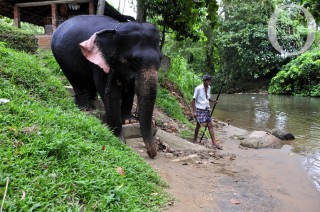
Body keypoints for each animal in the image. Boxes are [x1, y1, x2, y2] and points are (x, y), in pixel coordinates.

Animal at [52, 14, 162, 157]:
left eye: (160, 59)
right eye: (134, 60)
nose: (151, 154)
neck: (117, 28)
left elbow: (130, 89)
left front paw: (129, 121)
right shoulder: (98, 62)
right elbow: (110, 92)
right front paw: (119, 139)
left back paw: (92, 99)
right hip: (60, 59)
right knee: (74, 80)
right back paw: (86, 107)